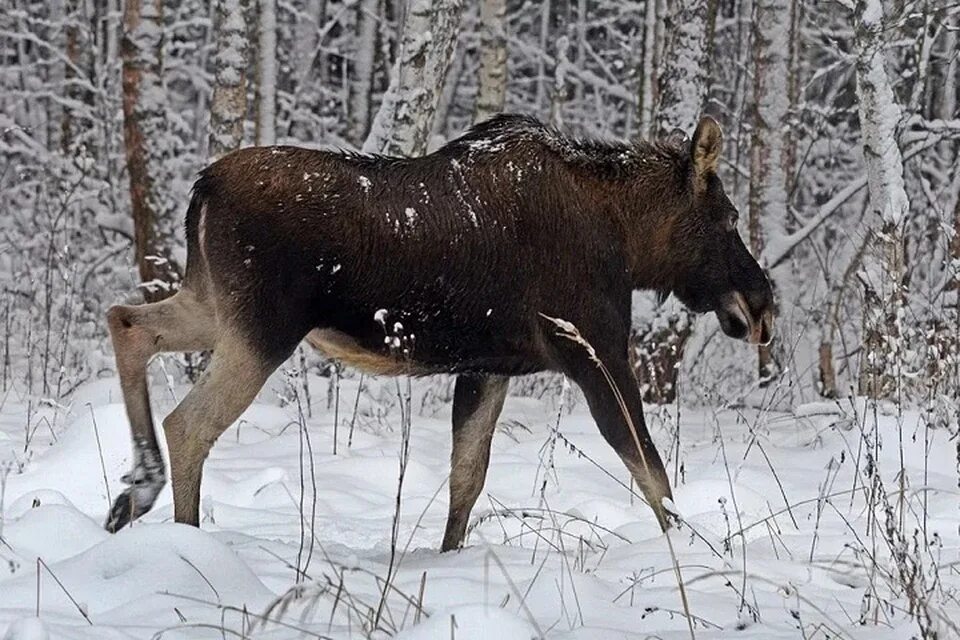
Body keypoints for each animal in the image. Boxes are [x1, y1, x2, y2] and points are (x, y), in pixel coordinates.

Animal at [107, 111, 772, 552]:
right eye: (729, 215)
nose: (763, 305)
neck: (630, 247)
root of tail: (201, 190)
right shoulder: (594, 350)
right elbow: (652, 471)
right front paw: (698, 558)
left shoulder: (489, 368)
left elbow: (465, 481)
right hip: (261, 331)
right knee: (187, 424)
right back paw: (184, 541)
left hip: (215, 309)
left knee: (126, 321)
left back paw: (135, 491)